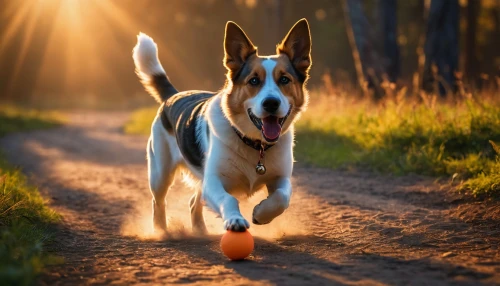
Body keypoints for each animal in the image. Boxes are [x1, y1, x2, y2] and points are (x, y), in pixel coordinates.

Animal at [135, 19, 310, 233]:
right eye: (254, 80)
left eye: (284, 79)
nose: (271, 103)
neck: (255, 144)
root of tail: (173, 95)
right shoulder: (213, 181)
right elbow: (228, 200)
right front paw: (235, 219)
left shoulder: (281, 178)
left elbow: (282, 198)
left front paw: (261, 213)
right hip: (160, 174)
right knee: (158, 202)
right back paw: (161, 231)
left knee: (193, 202)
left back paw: (200, 231)